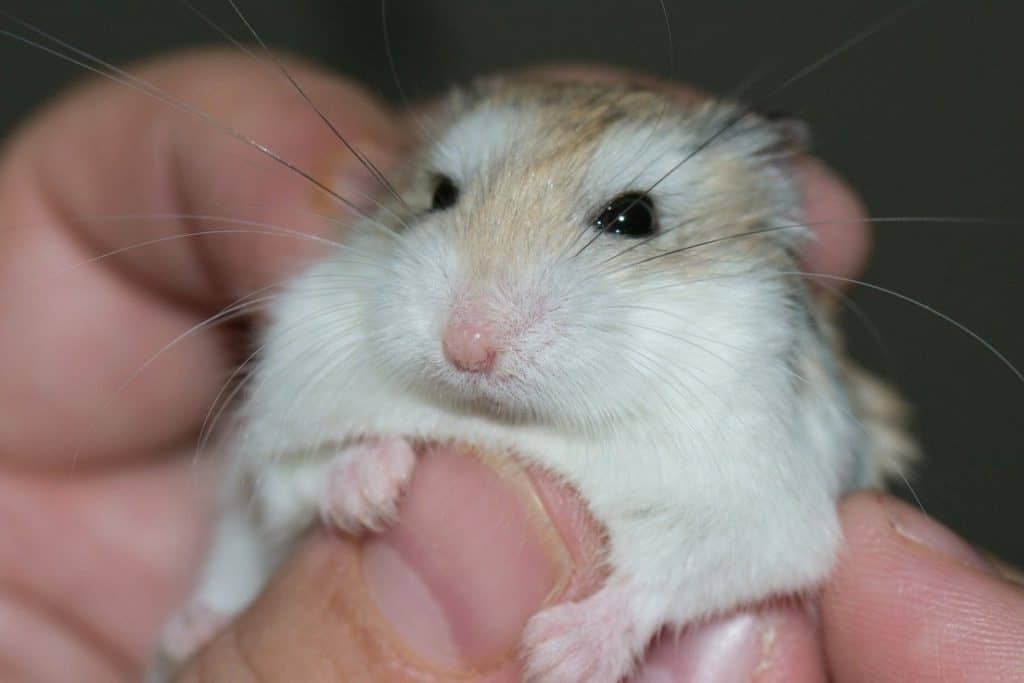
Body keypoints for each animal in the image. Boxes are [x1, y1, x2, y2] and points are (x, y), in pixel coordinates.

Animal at [151, 77, 921, 679]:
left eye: (634, 217)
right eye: (439, 193)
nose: (467, 346)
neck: (518, 423)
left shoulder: (766, 508)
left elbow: (683, 574)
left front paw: (555, 654)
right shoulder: (283, 420)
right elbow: (300, 474)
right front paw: (374, 487)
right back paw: (188, 632)